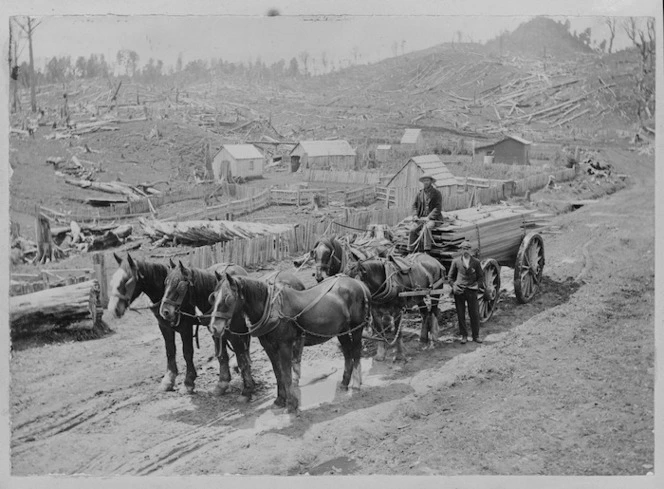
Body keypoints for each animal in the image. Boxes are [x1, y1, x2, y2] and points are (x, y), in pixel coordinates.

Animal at [208, 272, 374, 414]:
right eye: (213, 297)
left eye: (228, 298)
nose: (214, 328)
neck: (272, 309)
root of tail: (360, 284)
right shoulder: (269, 347)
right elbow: (278, 373)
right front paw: (280, 400)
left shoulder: (285, 345)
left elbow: (287, 374)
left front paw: (291, 404)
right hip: (342, 330)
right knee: (347, 353)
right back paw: (345, 383)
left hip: (356, 327)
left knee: (356, 351)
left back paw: (356, 384)